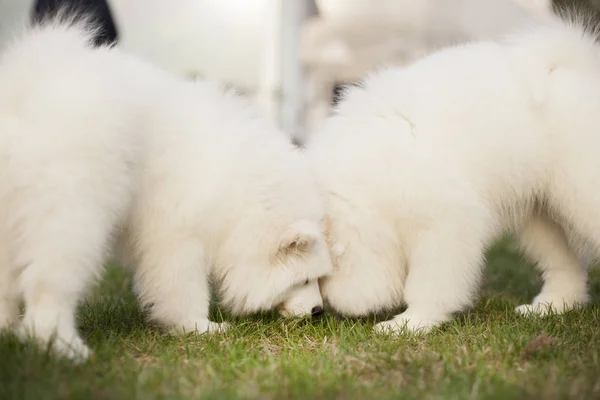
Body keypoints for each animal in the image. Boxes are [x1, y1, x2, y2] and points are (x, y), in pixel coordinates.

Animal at [0, 18, 332, 360]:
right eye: (306, 278)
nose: (318, 311)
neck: (232, 182)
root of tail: (24, 89)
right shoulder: (176, 235)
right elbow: (181, 286)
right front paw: (199, 327)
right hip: (71, 209)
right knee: (49, 282)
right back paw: (63, 346)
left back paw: (7, 330)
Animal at [308, 14, 596, 334]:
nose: (316, 311)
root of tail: (578, 67)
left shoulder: (444, 223)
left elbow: (431, 281)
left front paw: (412, 323)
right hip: (542, 213)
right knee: (565, 265)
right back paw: (551, 306)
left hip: (581, 191)